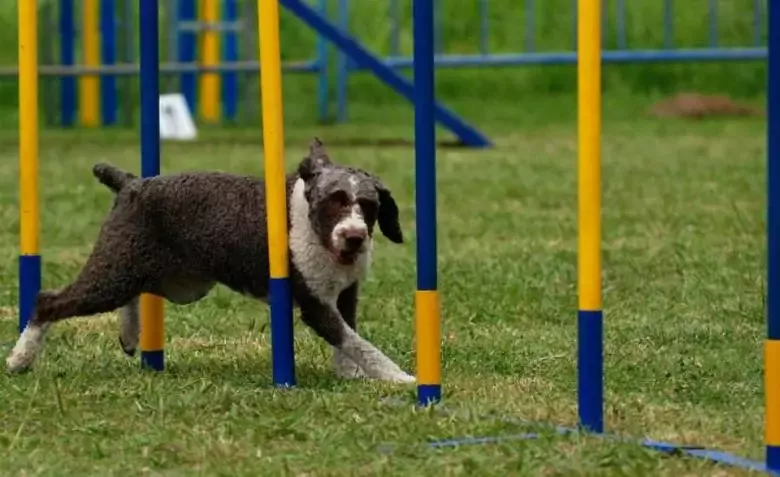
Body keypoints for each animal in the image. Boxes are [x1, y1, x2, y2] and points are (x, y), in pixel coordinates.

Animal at [6, 138, 418, 384]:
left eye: (368, 205)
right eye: (334, 200)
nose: (354, 236)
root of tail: (131, 184)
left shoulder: (345, 294)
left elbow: (349, 339)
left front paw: (352, 375)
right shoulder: (315, 306)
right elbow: (359, 343)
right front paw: (400, 379)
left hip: (164, 279)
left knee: (133, 293)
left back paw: (129, 334)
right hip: (114, 273)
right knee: (48, 301)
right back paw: (19, 359)